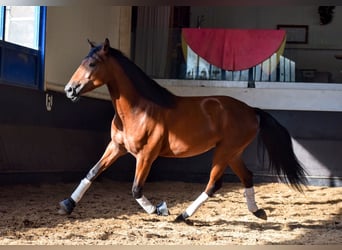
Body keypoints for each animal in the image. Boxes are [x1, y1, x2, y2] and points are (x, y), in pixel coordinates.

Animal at [58, 38, 308, 222]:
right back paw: (257, 211)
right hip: (233, 153)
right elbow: (92, 172)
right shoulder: (117, 147)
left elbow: (136, 189)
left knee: (213, 184)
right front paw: (67, 205)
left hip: (225, 151)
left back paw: (184, 215)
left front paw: (159, 209)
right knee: (246, 176)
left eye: (92, 64)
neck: (138, 109)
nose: (69, 89)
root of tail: (252, 111)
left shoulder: (146, 155)